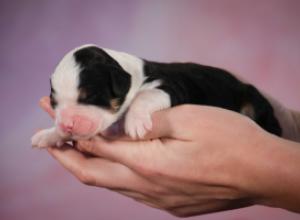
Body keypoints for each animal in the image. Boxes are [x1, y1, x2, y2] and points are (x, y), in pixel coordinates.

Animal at [31, 44, 282, 148]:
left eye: (90, 96)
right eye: (54, 102)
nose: (67, 125)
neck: (131, 75)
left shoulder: (171, 87)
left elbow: (146, 95)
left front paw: (135, 123)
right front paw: (49, 134)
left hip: (253, 99)